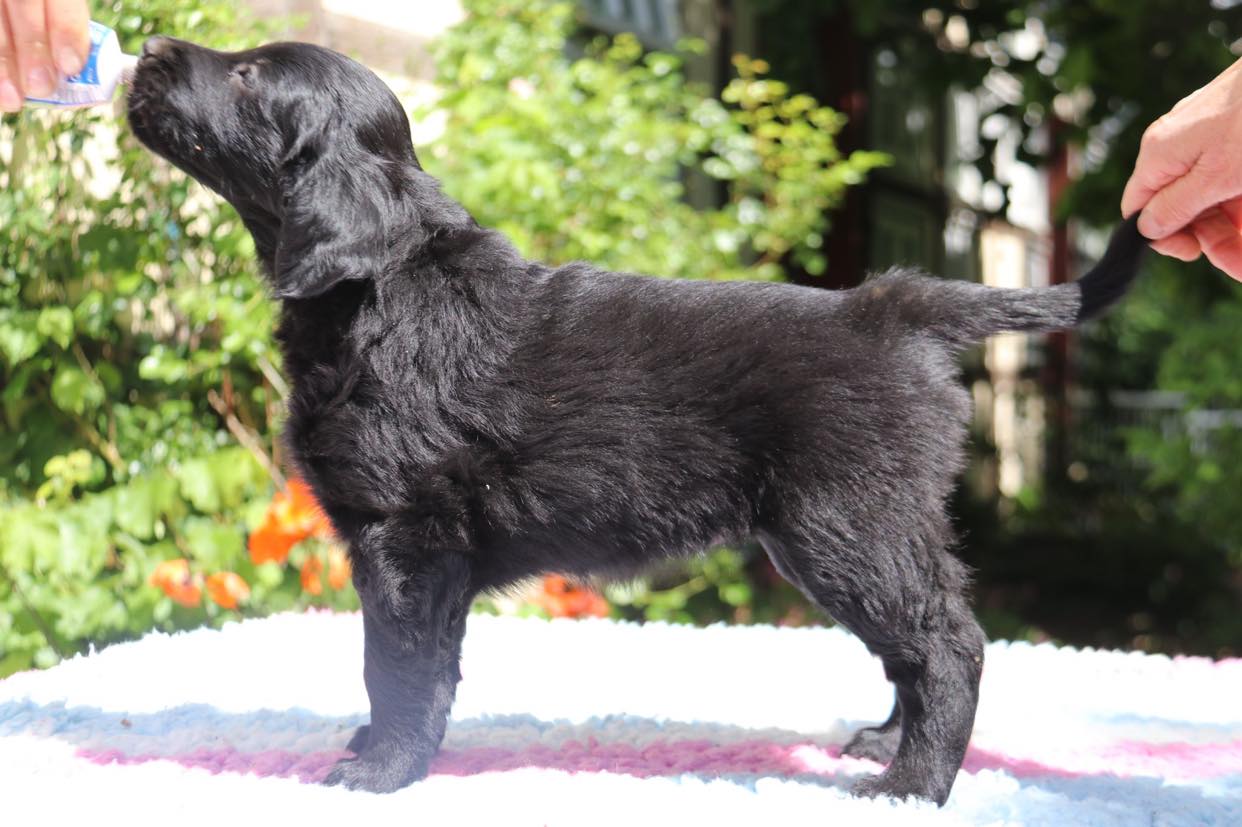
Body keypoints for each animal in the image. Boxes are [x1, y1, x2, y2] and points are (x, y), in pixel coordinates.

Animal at [127, 36, 1146, 804]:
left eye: (249, 75)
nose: (148, 45)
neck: (378, 287)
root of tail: (892, 306)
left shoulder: (404, 535)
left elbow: (399, 660)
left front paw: (380, 770)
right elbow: (414, 663)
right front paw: (378, 746)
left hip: (846, 524)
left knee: (946, 642)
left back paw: (911, 785)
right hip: (864, 529)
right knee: (914, 641)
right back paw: (884, 745)